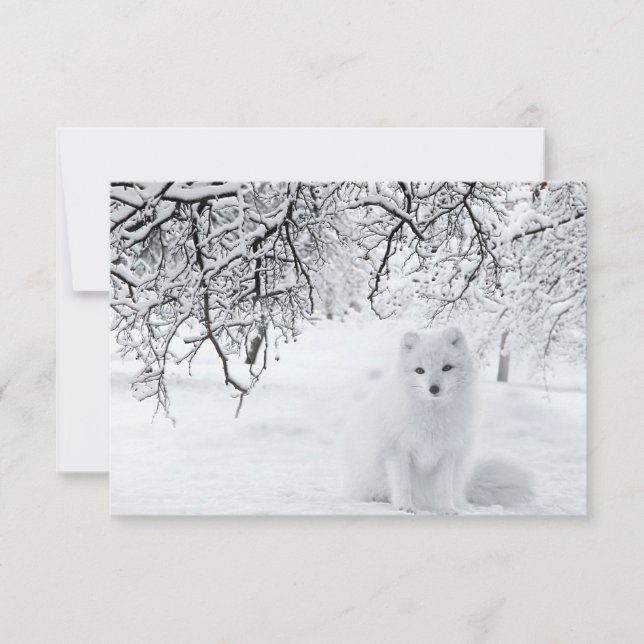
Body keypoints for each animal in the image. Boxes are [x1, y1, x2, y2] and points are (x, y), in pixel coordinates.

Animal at [346, 326, 533, 514]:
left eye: (447, 368)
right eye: (419, 370)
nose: (434, 388)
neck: (432, 417)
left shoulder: (447, 453)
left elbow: (443, 488)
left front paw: (446, 510)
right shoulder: (398, 451)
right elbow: (403, 484)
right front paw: (405, 507)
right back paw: (378, 497)